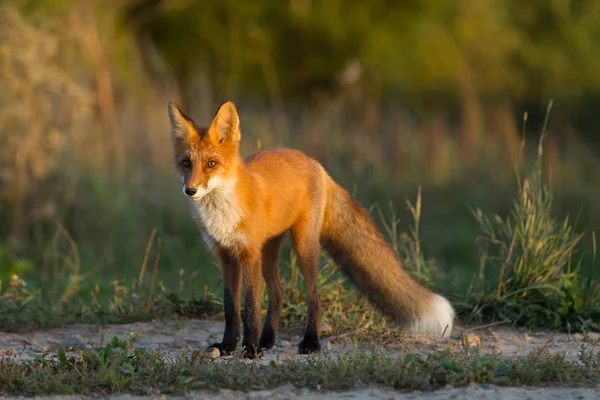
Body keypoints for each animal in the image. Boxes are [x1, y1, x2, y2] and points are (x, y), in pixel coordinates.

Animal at [166, 101, 452, 358]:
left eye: (212, 164)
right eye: (186, 163)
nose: (190, 190)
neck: (221, 213)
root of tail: (312, 161)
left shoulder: (248, 254)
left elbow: (251, 308)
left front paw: (250, 349)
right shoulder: (225, 256)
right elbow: (231, 309)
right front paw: (228, 346)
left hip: (303, 246)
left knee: (314, 298)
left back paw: (310, 342)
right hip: (269, 253)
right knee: (278, 295)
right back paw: (267, 340)